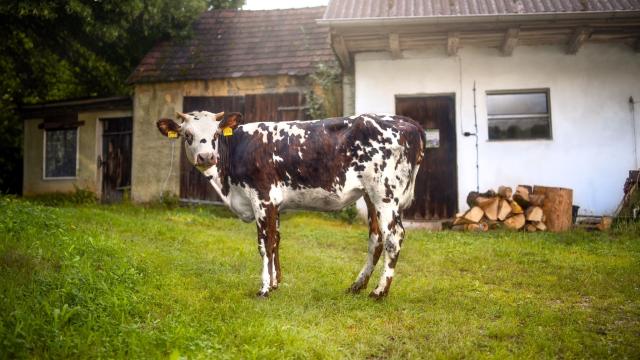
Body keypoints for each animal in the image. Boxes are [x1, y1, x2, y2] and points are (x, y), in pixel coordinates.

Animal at [155, 112, 424, 298]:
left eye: (215, 135)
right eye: (187, 135)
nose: (206, 157)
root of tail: (407, 122)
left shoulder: (262, 198)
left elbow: (264, 244)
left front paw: (264, 289)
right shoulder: (275, 204)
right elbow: (276, 241)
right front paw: (275, 284)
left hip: (384, 193)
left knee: (393, 237)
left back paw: (379, 292)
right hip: (370, 195)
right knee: (376, 238)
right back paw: (357, 286)